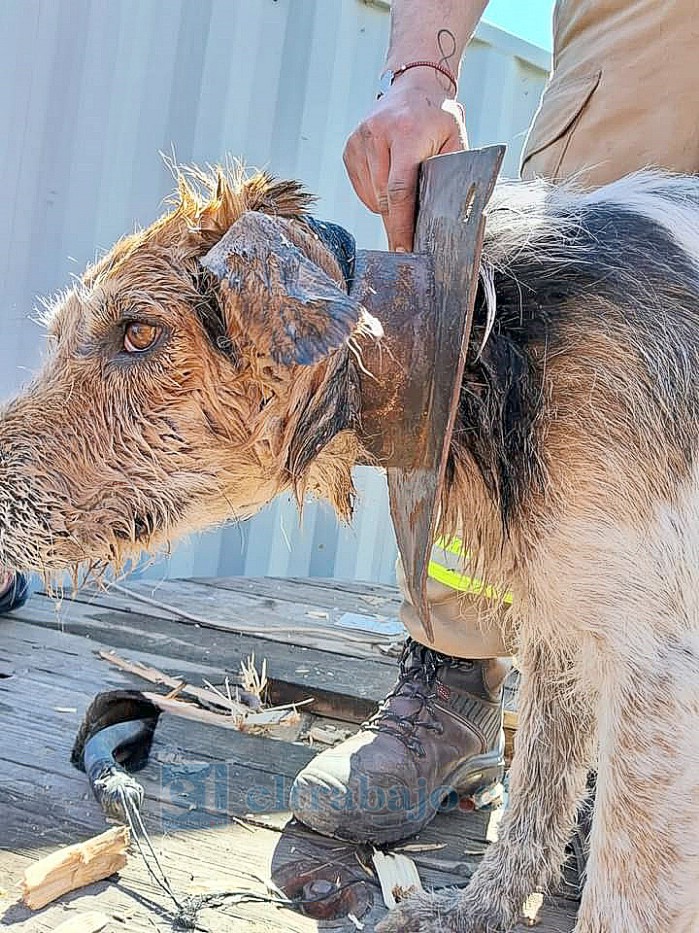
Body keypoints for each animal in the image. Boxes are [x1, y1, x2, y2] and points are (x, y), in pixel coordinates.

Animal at [0, 164, 696, 928]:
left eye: (139, 332)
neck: (487, 343)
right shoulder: (563, 624)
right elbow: (535, 796)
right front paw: (471, 910)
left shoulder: (654, 668)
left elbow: (622, 885)